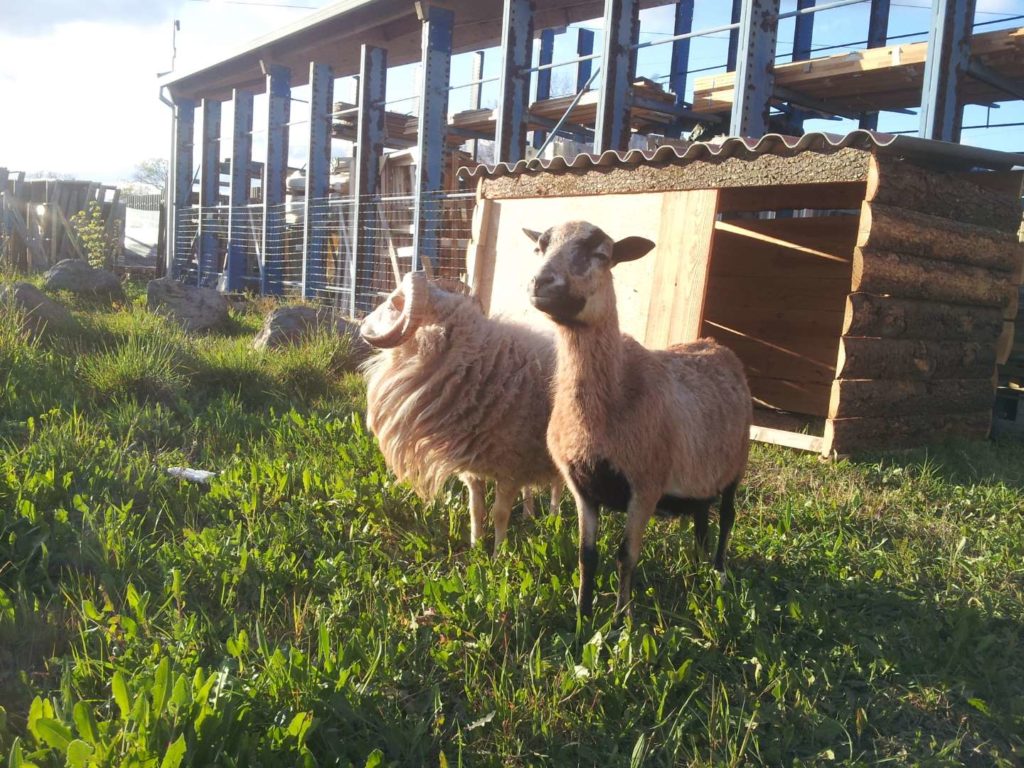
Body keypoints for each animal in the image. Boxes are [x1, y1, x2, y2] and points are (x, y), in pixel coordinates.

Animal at [360, 274, 565, 548]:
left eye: (394, 302)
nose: (362, 323)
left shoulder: (510, 467)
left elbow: (500, 514)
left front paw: (499, 554)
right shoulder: (474, 466)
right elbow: (475, 510)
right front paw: (476, 547)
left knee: (557, 485)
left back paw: (554, 518)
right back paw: (530, 515)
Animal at [528, 219, 753, 618]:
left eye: (602, 254)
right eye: (539, 247)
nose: (541, 282)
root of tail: (714, 343)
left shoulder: (645, 485)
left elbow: (625, 556)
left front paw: (621, 619)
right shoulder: (582, 487)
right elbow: (587, 556)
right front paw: (582, 614)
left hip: (736, 464)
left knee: (727, 516)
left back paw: (719, 571)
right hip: (701, 473)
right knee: (701, 516)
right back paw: (698, 567)